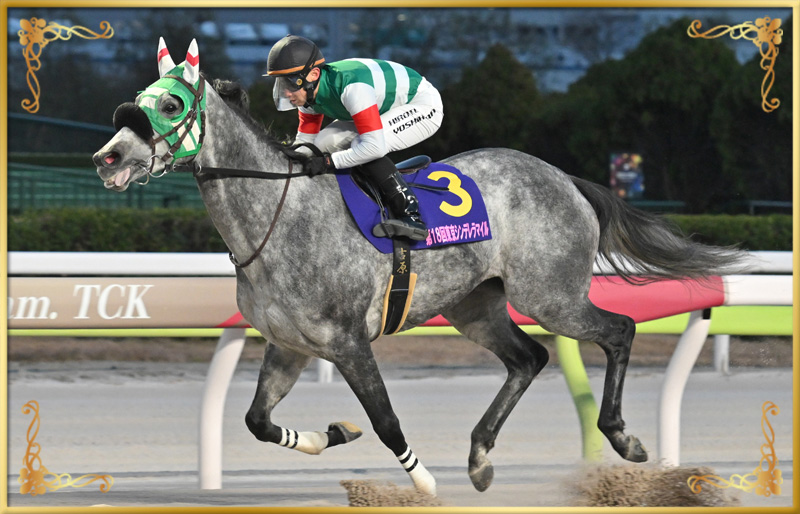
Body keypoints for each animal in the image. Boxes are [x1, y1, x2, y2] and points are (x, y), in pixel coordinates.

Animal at [92, 39, 746, 496]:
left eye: (171, 103)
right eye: (138, 102)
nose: (107, 159)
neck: (278, 216)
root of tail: (566, 178)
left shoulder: (348, 341)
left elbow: (386, 421)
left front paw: (424, 483)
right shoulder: (290, 344)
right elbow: (257, 421)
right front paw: (335, 434)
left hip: (550, 295)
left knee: (618, 330)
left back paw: (623, 438)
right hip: (474, 305)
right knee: (528, 358)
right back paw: (480, 457)